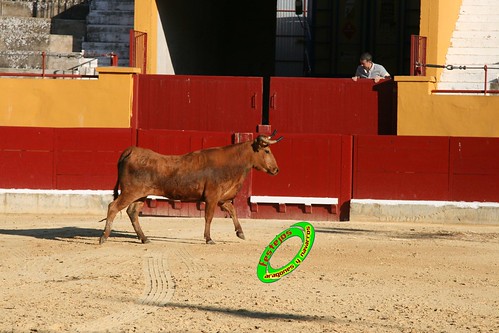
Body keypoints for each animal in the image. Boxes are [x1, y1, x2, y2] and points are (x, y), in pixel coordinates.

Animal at [99, 132, 284, 244]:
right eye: (267, 151)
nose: (276, 170)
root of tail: (131, 151)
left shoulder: (222, 198)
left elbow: (233, 210)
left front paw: (240, 233)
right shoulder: (212, 197)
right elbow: (209, 217)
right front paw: (208, 238)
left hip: (140, 195)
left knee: (132, 212)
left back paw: (144, 238)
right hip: (130, 192)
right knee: (113, 207)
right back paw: (104, 237)